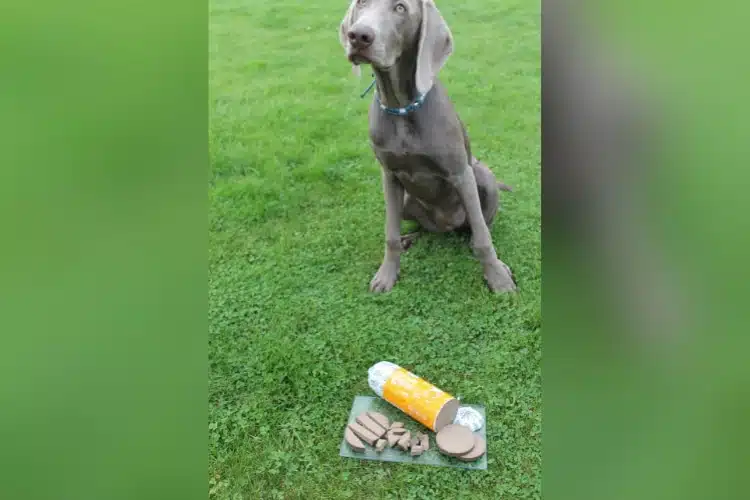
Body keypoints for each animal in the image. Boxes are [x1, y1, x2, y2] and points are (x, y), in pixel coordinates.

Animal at [340, 0, 516, 292]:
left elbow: (483, 237)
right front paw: (387, 274)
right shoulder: (389, 176)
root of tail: (445, 225)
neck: (401, 107)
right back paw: (408, 239)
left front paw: (498, 277)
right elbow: (390, 233)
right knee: (420, 229)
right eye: (363, 3)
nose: (359, 36)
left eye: (401, 8)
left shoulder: (460, 173)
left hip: (483, 176)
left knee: (479, 226)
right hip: (407, 201)